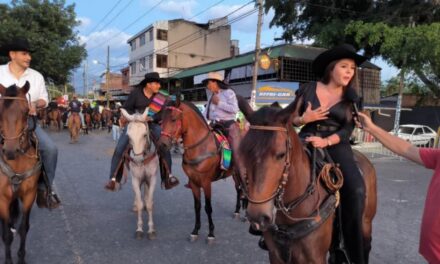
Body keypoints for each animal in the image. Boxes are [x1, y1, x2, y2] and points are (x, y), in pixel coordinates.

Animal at [120, 106, 160, 239]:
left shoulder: (152, 178)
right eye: (128, 135)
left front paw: (151, 230)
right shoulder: (136, 179)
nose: (137, 160)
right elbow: (139, 203)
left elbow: (149, 203)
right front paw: (139, 229)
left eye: (144, 134)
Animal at [157, 100, 246, 244]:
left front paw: (211, 233)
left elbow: (208, 207)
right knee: (239, 190)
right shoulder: (194, 182)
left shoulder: (206, 182)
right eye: (161, 121)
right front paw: (195, 231)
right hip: (234, 173)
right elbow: (197, 206)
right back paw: (237, 210)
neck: (200, 148)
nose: (161, 145)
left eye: (173, 119)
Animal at [235, 101, 376, 264]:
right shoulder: (275, 255)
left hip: (365, 226)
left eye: (281, 154)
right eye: (244, 152)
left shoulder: (315, 258)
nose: (258, 217)